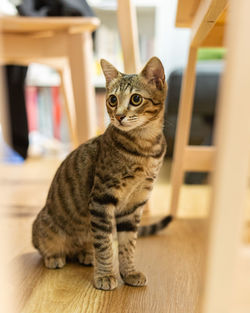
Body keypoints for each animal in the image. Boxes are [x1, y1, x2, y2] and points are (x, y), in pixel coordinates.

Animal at [32, 56, 173, 290]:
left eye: (136, 99)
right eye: (112, 100)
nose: (119, 116)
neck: (144, 148)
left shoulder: (134, 204)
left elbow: (127, 244)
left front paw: (129, 272)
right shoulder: (101, 199)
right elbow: (106, 244)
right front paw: (106, 275)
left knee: (87, 247)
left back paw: (86, 254)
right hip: (44, 227)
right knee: (43, 247)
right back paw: (54, 257)